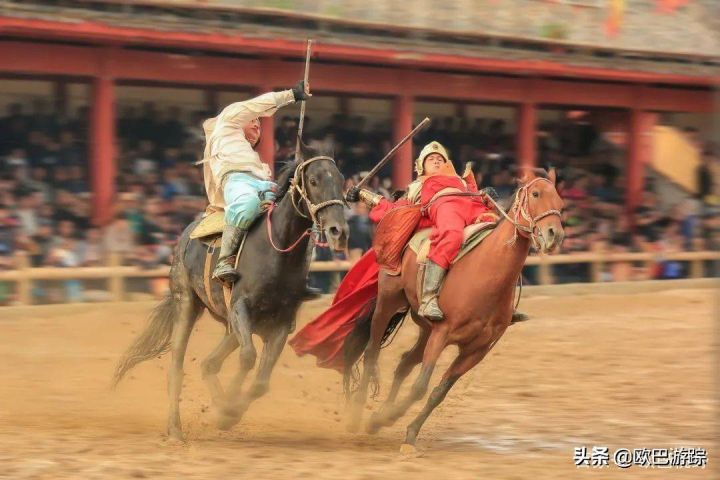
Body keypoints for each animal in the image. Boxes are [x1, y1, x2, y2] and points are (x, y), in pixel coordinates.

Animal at [113, 144, 348, 440]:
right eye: (314, 181)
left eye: (341, 180)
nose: (338, 231)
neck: (277, 253)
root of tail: (185, 236)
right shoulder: (240, 308)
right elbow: (248, 358)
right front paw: (227, 410)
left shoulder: (281, 323)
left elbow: (260, 382)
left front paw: (228, 411)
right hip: (187, 304)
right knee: (177, 365)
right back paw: (175, 428)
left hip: (232, 328)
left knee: (209, 364)